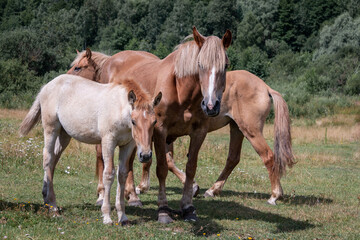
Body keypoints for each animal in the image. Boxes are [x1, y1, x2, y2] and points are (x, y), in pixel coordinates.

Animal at [18, 74, 162, 225]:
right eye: (133, 121)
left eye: (154, 122)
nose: (145, 155)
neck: (119, 108)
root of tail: (46, 87)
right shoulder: (108, 141)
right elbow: (108, 174)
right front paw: (107, 216)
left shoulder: (128, 145)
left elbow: (122, 174)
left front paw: (122, 217)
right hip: (51, 128)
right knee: (47, 158)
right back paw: (53, 208)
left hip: (64, 134)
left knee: (53, 161)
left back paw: (46, 199)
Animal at [67, 26, 231, 223]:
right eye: (199, 64)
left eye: (226, 65)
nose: (211, 105)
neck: (182, 90)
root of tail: (110, 61)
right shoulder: (160, 131)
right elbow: (162, 168)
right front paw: (163, 210)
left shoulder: (199, 132)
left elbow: (190, 168)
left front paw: (188, 207)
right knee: (102, 156)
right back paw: (104, 195)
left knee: (129, 162)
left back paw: (132, 196)